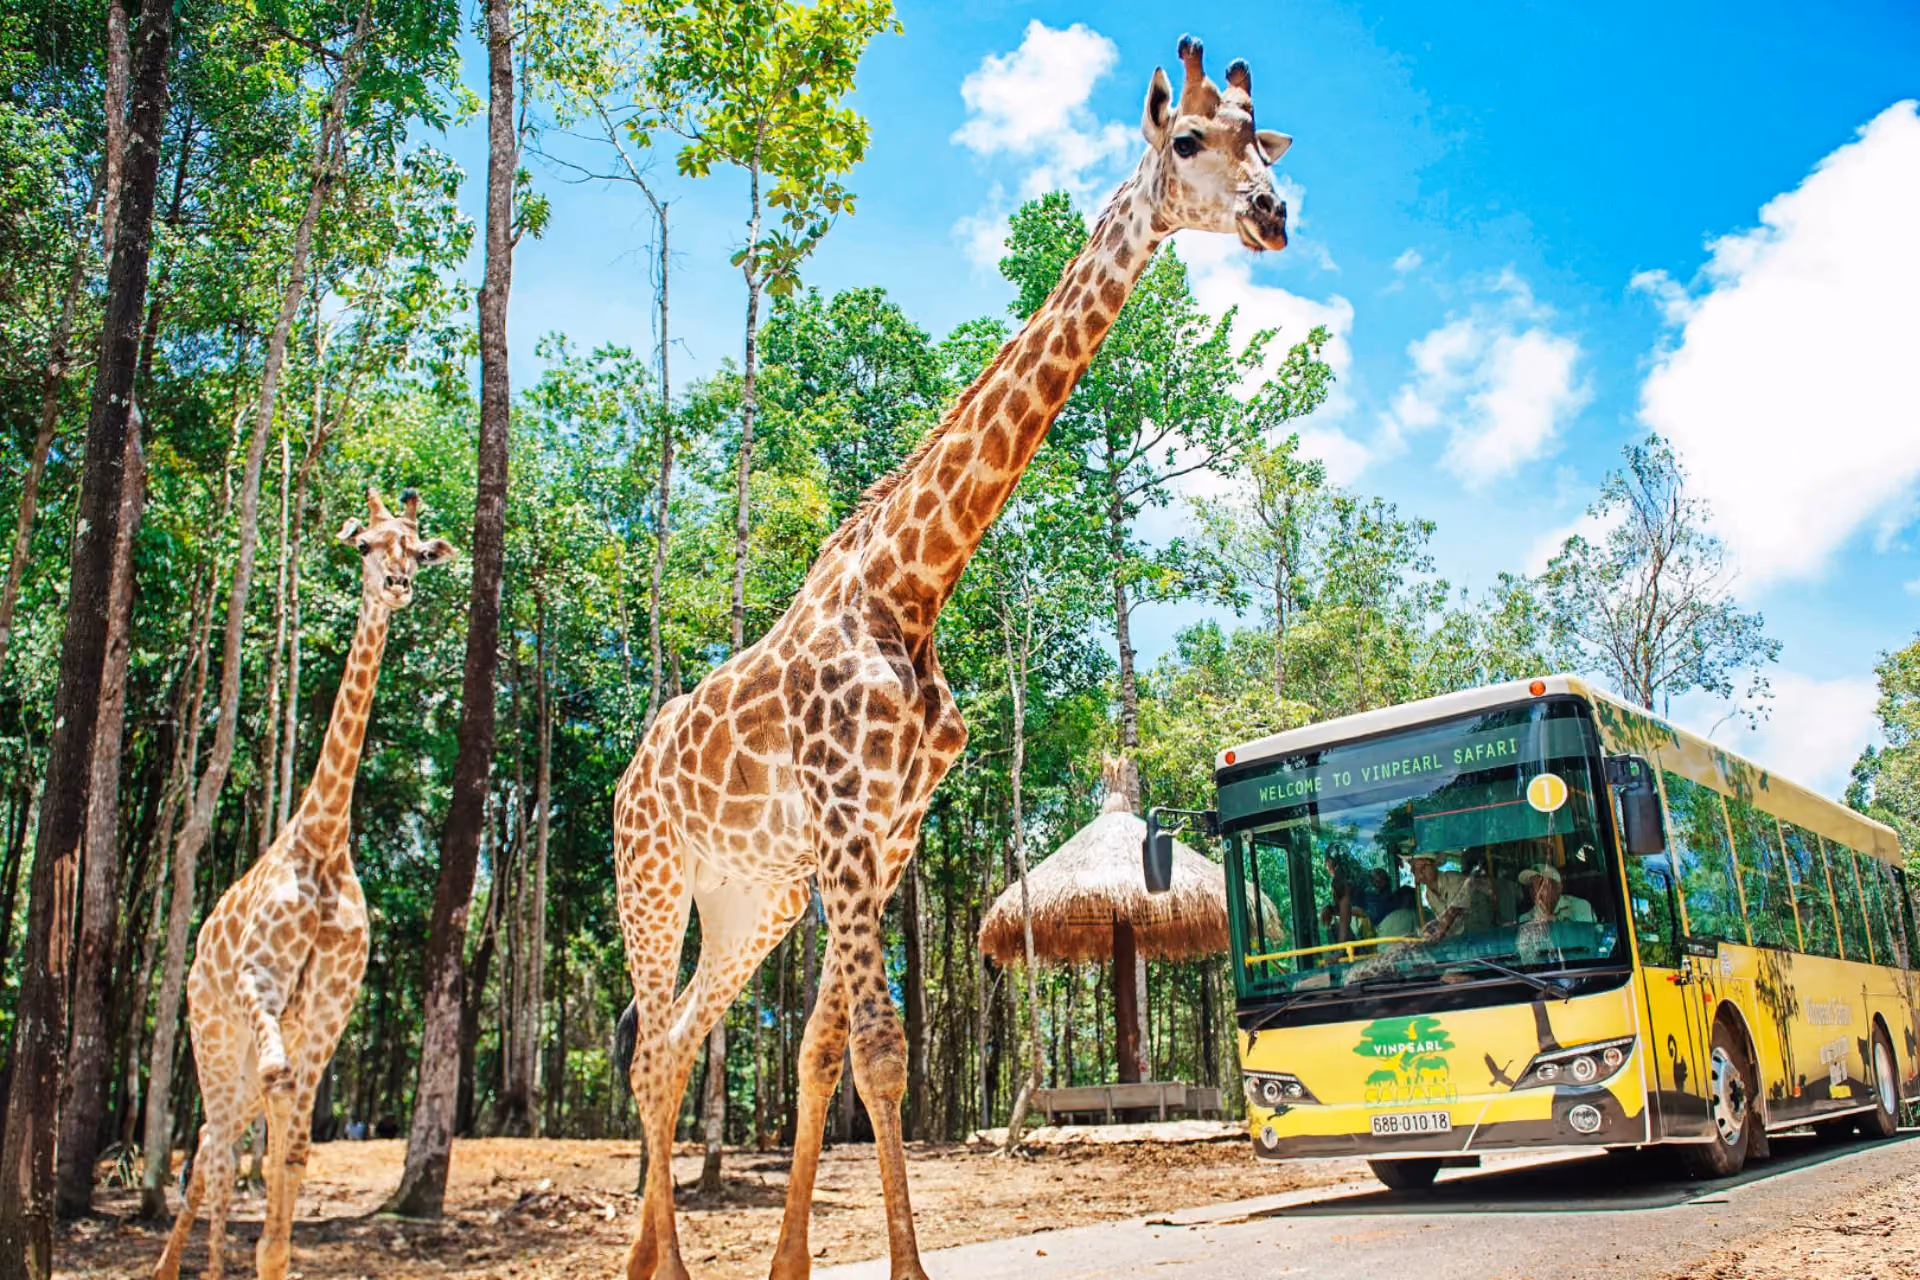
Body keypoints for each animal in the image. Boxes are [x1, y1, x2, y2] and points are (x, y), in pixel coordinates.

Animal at [155, 488, 454, 1280]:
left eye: (418, 549)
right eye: (364, 546)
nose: (398, 585)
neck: (322, 840)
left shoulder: (327, 1013)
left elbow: (293, 1153)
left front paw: (275, 1251)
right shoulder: (259, 981)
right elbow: (271, 1110)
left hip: (238, 1051)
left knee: (219, 1143)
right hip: (210, 1034)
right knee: (210, 1152)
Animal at [612, 36, 1292, 1280]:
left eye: (1262, 141)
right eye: (1187, 140)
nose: (1274, 214)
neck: (910, 583)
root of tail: (631, 771)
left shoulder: (887, 833)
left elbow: (826, 1048)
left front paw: (790, 1262)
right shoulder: (844, 817)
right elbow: (881, 1045)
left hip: (750, 899)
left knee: (679, 1035)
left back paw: (650, 1261)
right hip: (656, 874)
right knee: (647, 1045)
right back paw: (659, 1265)